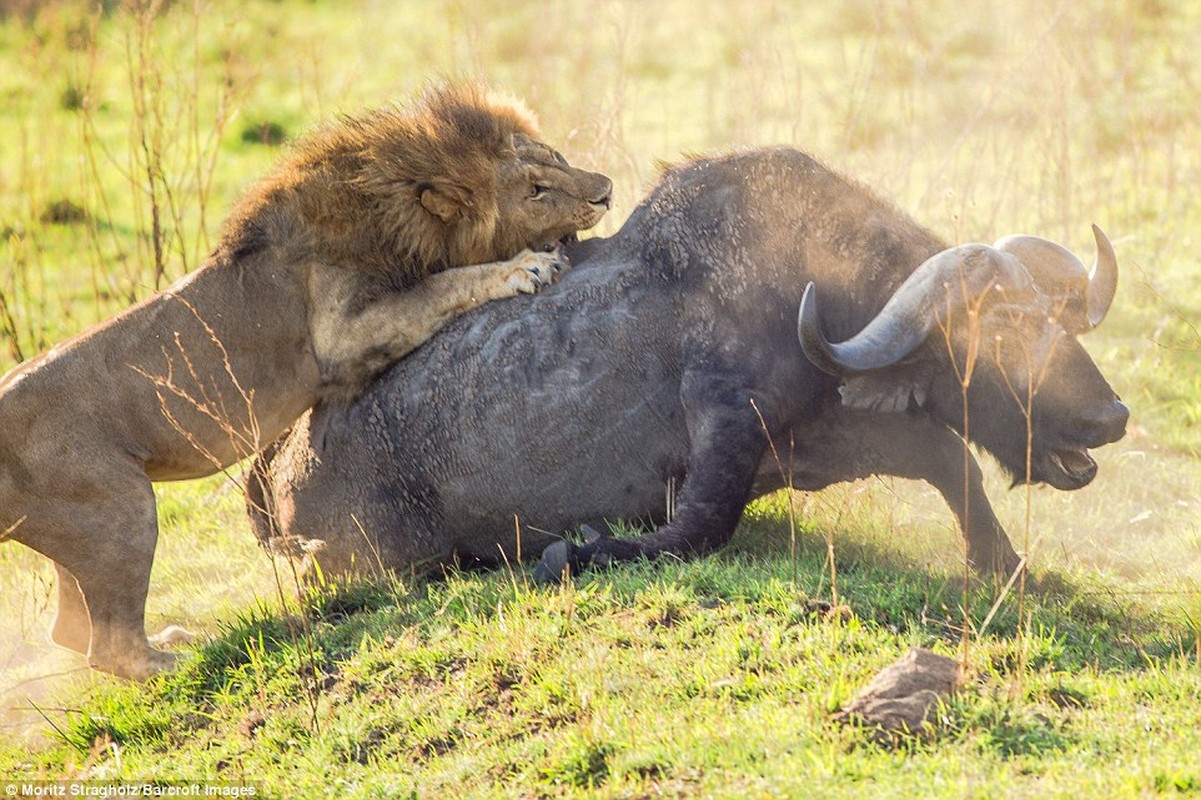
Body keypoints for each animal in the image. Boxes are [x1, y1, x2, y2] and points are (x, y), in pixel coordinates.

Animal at [0, 82, 614, 677]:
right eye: (535, 189)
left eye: (557, 156)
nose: (606, 190)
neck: (393, 213)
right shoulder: (342, 336)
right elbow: (445, 286)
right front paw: (526, 266)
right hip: (119, 506)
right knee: (108, 646)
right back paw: (180, 660)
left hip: (85, 525)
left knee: (71, 629)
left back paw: (171, 640)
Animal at [243, 146, 1124, 578]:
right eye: (996, 335)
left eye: (1056, 320)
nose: (1108, 416)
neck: (808, 299)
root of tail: (281, 465)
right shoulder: (726, 423)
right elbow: (699, 529)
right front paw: (580, 549)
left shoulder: (836, 431)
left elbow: (953, 462)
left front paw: (1001, 563)